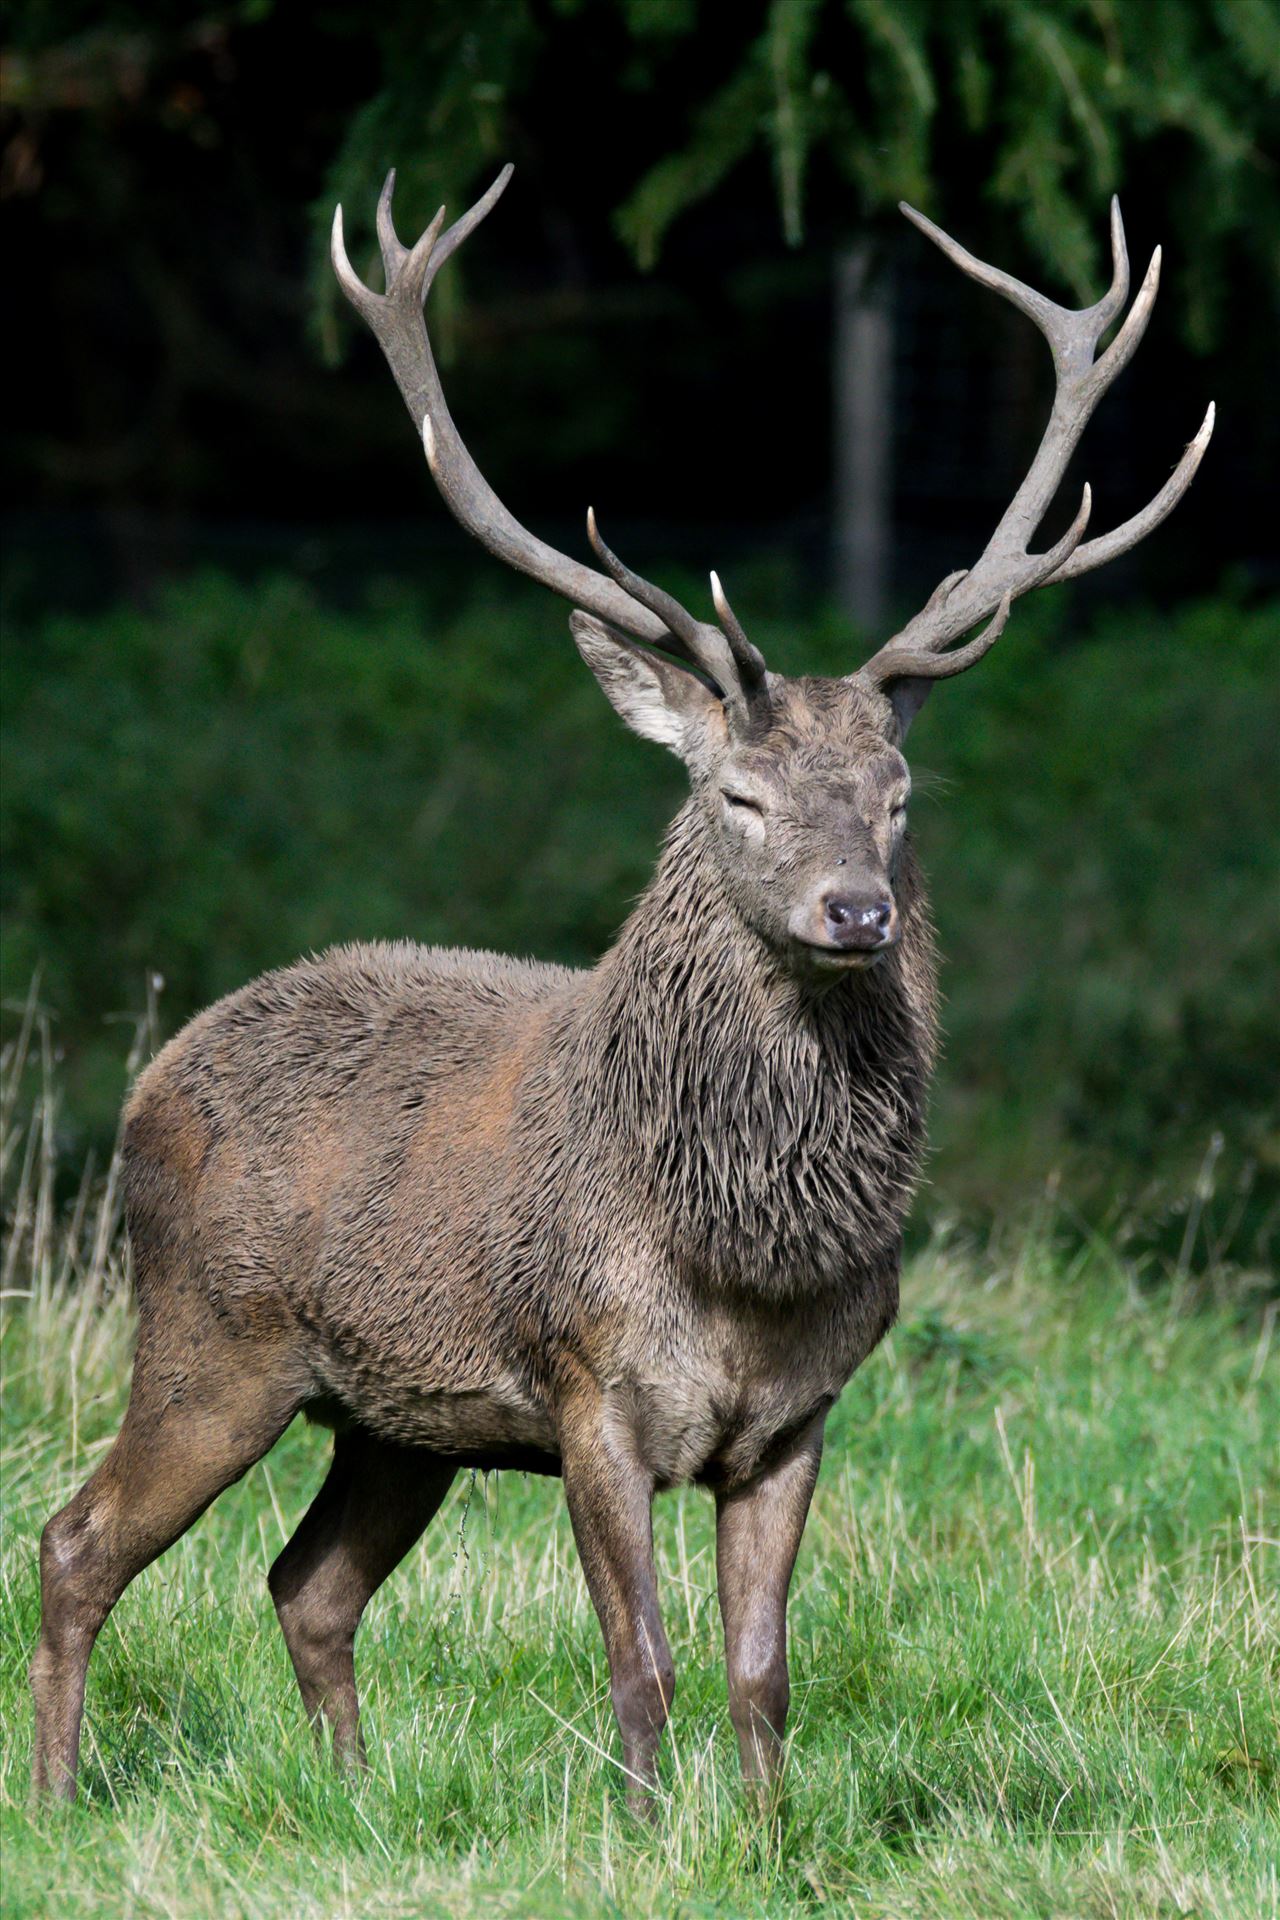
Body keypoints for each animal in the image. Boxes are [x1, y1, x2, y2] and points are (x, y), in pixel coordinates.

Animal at [29, 168, 1212, 1812]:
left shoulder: (799, 1421)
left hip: (396, 1419)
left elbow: (762, 1674)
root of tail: (153, 1078)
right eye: (738, 795)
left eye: (899, 796)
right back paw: (57, 1794)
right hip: (211, 1338)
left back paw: (352, 1797)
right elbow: (637, 1664)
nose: (855, 910)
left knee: (306, 1585)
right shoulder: (589, 1386)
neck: (742, 1247)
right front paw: (650, 1832)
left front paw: (767, 1837)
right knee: (76, 1542)